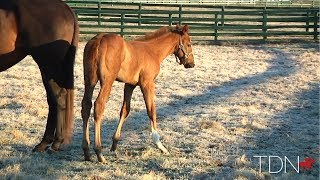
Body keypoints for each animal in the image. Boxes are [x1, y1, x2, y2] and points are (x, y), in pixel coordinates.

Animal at [0, 0, 78, 152]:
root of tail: (65, 7)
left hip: (48, 66)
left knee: (58, 98)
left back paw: (55, 142)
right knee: (52, 101)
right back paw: (45, 143)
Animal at [81, 24, 194, 162]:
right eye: (188, 44)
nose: (191, 64)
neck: (152, 51)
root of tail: (99, 40)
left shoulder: (130, 85)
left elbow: (125, 110)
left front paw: (114, 143)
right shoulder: (147, 83)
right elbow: (151, 110)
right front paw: (160, 145)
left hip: (90, 80)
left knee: (86, 106)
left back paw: (86, 151)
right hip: (107, 81)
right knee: (98, 106)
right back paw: (99, 152)